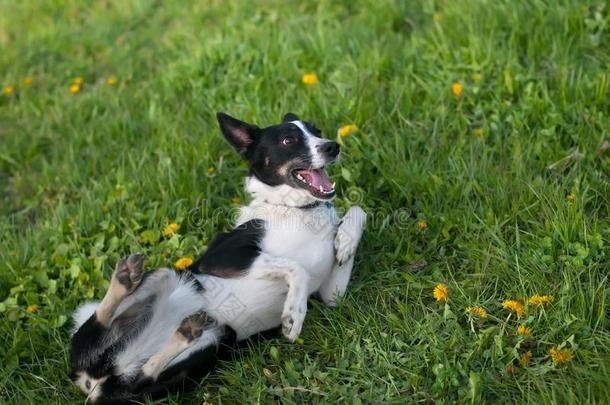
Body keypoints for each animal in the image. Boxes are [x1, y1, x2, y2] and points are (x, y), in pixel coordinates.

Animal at [71, 112, 366, 402]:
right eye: (288, 140)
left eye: (317, 132)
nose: (332, 146)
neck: (297, 211)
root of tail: (94, 383)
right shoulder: (222, 257)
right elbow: (295, 268)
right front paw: (295, 313)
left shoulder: (331, 295)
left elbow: (357, 210)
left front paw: (345, 242)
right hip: (167, 275)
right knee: (101, 321)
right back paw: (123, 281)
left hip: (207, 347)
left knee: (141, 380)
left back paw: (181, 335)